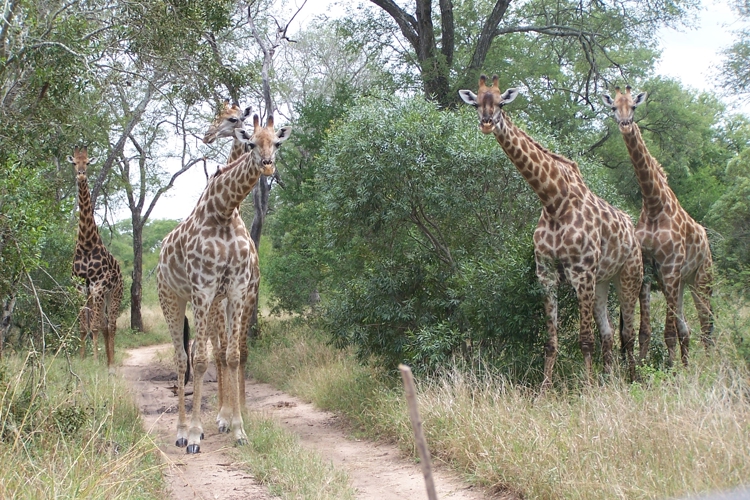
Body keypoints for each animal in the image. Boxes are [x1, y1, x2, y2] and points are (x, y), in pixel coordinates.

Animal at [157, 112, 291, 453]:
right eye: (251, 142)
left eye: (277, 142)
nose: (267, 165)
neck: (225, 210)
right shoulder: (204, 288)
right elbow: (202, 359)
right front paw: (196, 433)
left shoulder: (237, 289)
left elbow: (232, 355)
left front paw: (239, 429)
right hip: (171, 298)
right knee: (182, 359)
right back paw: (181, 431)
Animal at [459, 75, 643, 387]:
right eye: (476, 103)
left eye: (500, 102)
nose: (486, 122)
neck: (553, 200)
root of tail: (633, 230)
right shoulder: (546, 273)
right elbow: (551, 341)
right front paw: (545, 389)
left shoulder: (581, 273)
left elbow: (585, 339)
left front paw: (587, 390)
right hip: (603, 281)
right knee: (608, 333)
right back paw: (609, 381)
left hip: (629, 275)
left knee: (628, 334)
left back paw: (630, 381)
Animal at [602, 86, 714, 367]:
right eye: (613, 107)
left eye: (633, 106)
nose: (625, 124)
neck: (654, 204)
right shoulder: (650, 270)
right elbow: (646, 330)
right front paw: (644, 368)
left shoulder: (670, 266)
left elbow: (668, 332)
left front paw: (670, 371)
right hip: (681, 282)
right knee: (687, 327)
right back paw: (688, 366)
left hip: (701, 278)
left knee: (706, 324)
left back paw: (708, 364)